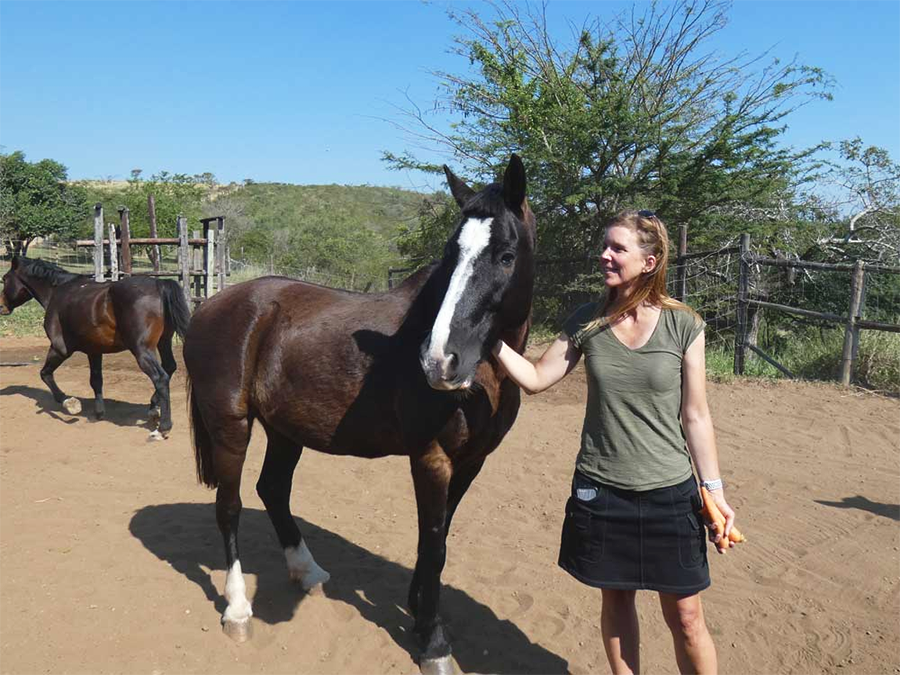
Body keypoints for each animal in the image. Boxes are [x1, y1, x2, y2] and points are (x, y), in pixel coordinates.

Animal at [0, 256, 191, 437]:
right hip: (163, 342)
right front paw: (98, 413)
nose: (2, 307)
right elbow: (96, 380)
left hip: (142, 350)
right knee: (169, 367)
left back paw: (163, 427)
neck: (58, 291)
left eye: (4, 279)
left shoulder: (60, 349)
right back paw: (153, 409)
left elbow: (45, 374)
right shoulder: (94, 350)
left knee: (161, 378)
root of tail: (159, 284)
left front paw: (70, 403)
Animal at [183, 155, 535, 675]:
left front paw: (418, 612)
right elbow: (432, 545)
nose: (439, 361)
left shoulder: (472, 462)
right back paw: (239, 610)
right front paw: (434, 644)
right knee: (229, 508)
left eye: (507, 255)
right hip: (231, 427)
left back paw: (307, 571)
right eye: (451, 254)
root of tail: (212, 304)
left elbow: (439, 541)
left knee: (273, 490)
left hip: (286, 431)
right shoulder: (431, 459)